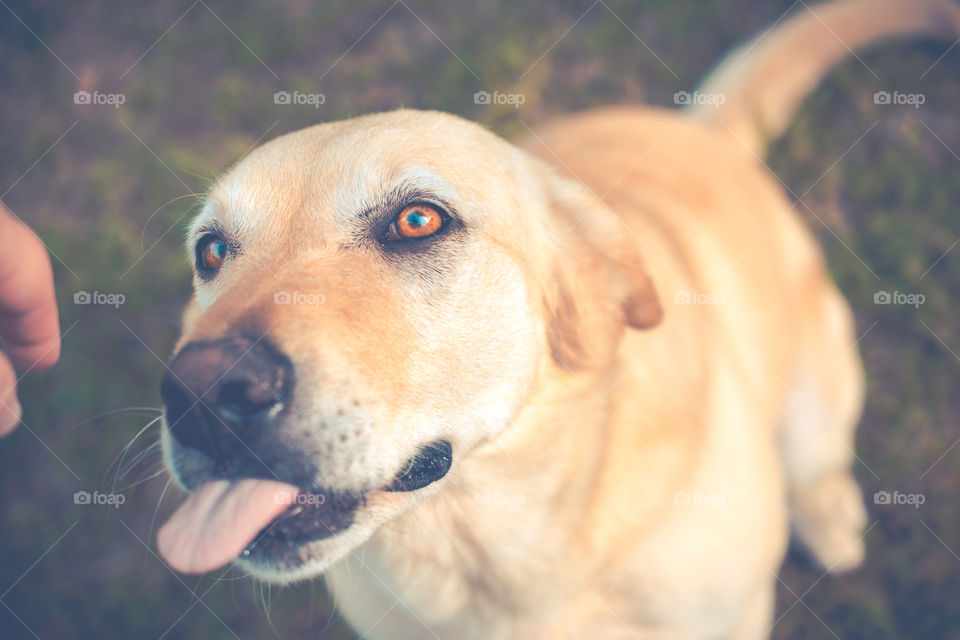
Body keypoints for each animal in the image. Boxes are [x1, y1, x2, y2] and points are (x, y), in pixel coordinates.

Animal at [154, 2, 956, 636]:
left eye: (418, 220)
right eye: (211, 251)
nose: (201, 393)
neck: (496, 552)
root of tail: (704, 131)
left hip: (818, 393)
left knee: (819, 461)